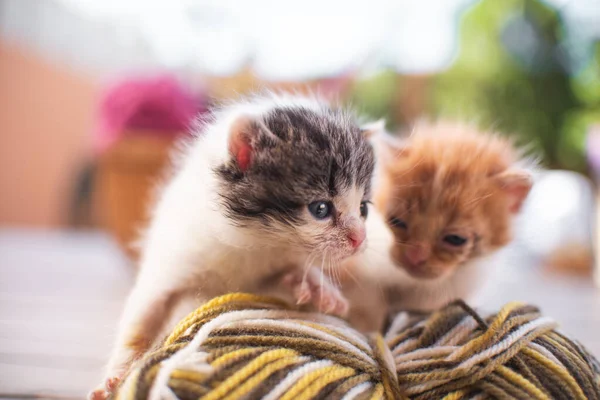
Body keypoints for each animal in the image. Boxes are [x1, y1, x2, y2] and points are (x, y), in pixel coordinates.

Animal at [89, 94, 376, 400]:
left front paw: (315, 285)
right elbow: (144, 313)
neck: (255, 241)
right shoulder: (174, 256)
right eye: (320, 209)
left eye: (363, 209)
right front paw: (118, 375)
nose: (359, 240)